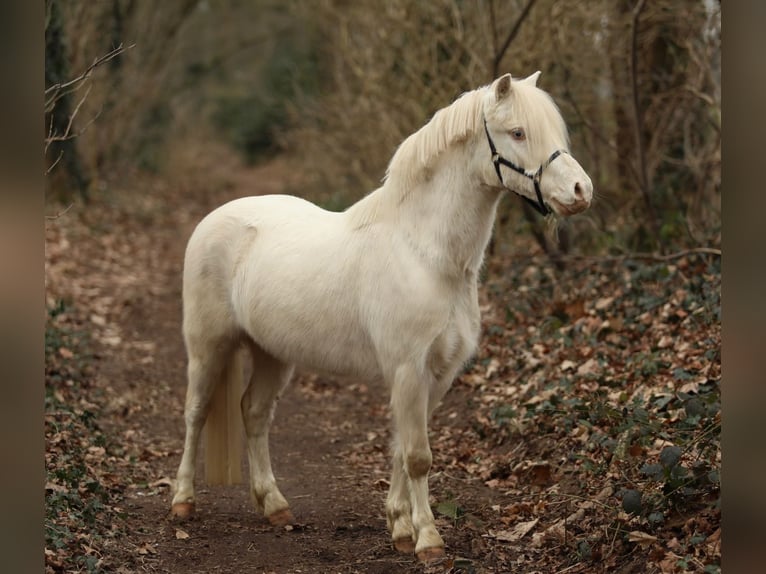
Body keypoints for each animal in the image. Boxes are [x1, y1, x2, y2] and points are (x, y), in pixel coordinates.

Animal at [172, 72, 592, 564]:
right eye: (518, 132)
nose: (581, 191)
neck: (424, 252)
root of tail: (214, 219)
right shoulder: (408, 369)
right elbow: (417, 456)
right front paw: (428, 540)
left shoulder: (436, 375)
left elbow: (400, 449)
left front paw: (400, 528)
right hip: (208, 345)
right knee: (196, 412)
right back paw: (182, 502)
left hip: (272, 353)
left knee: (254, 414)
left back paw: (275, 507)